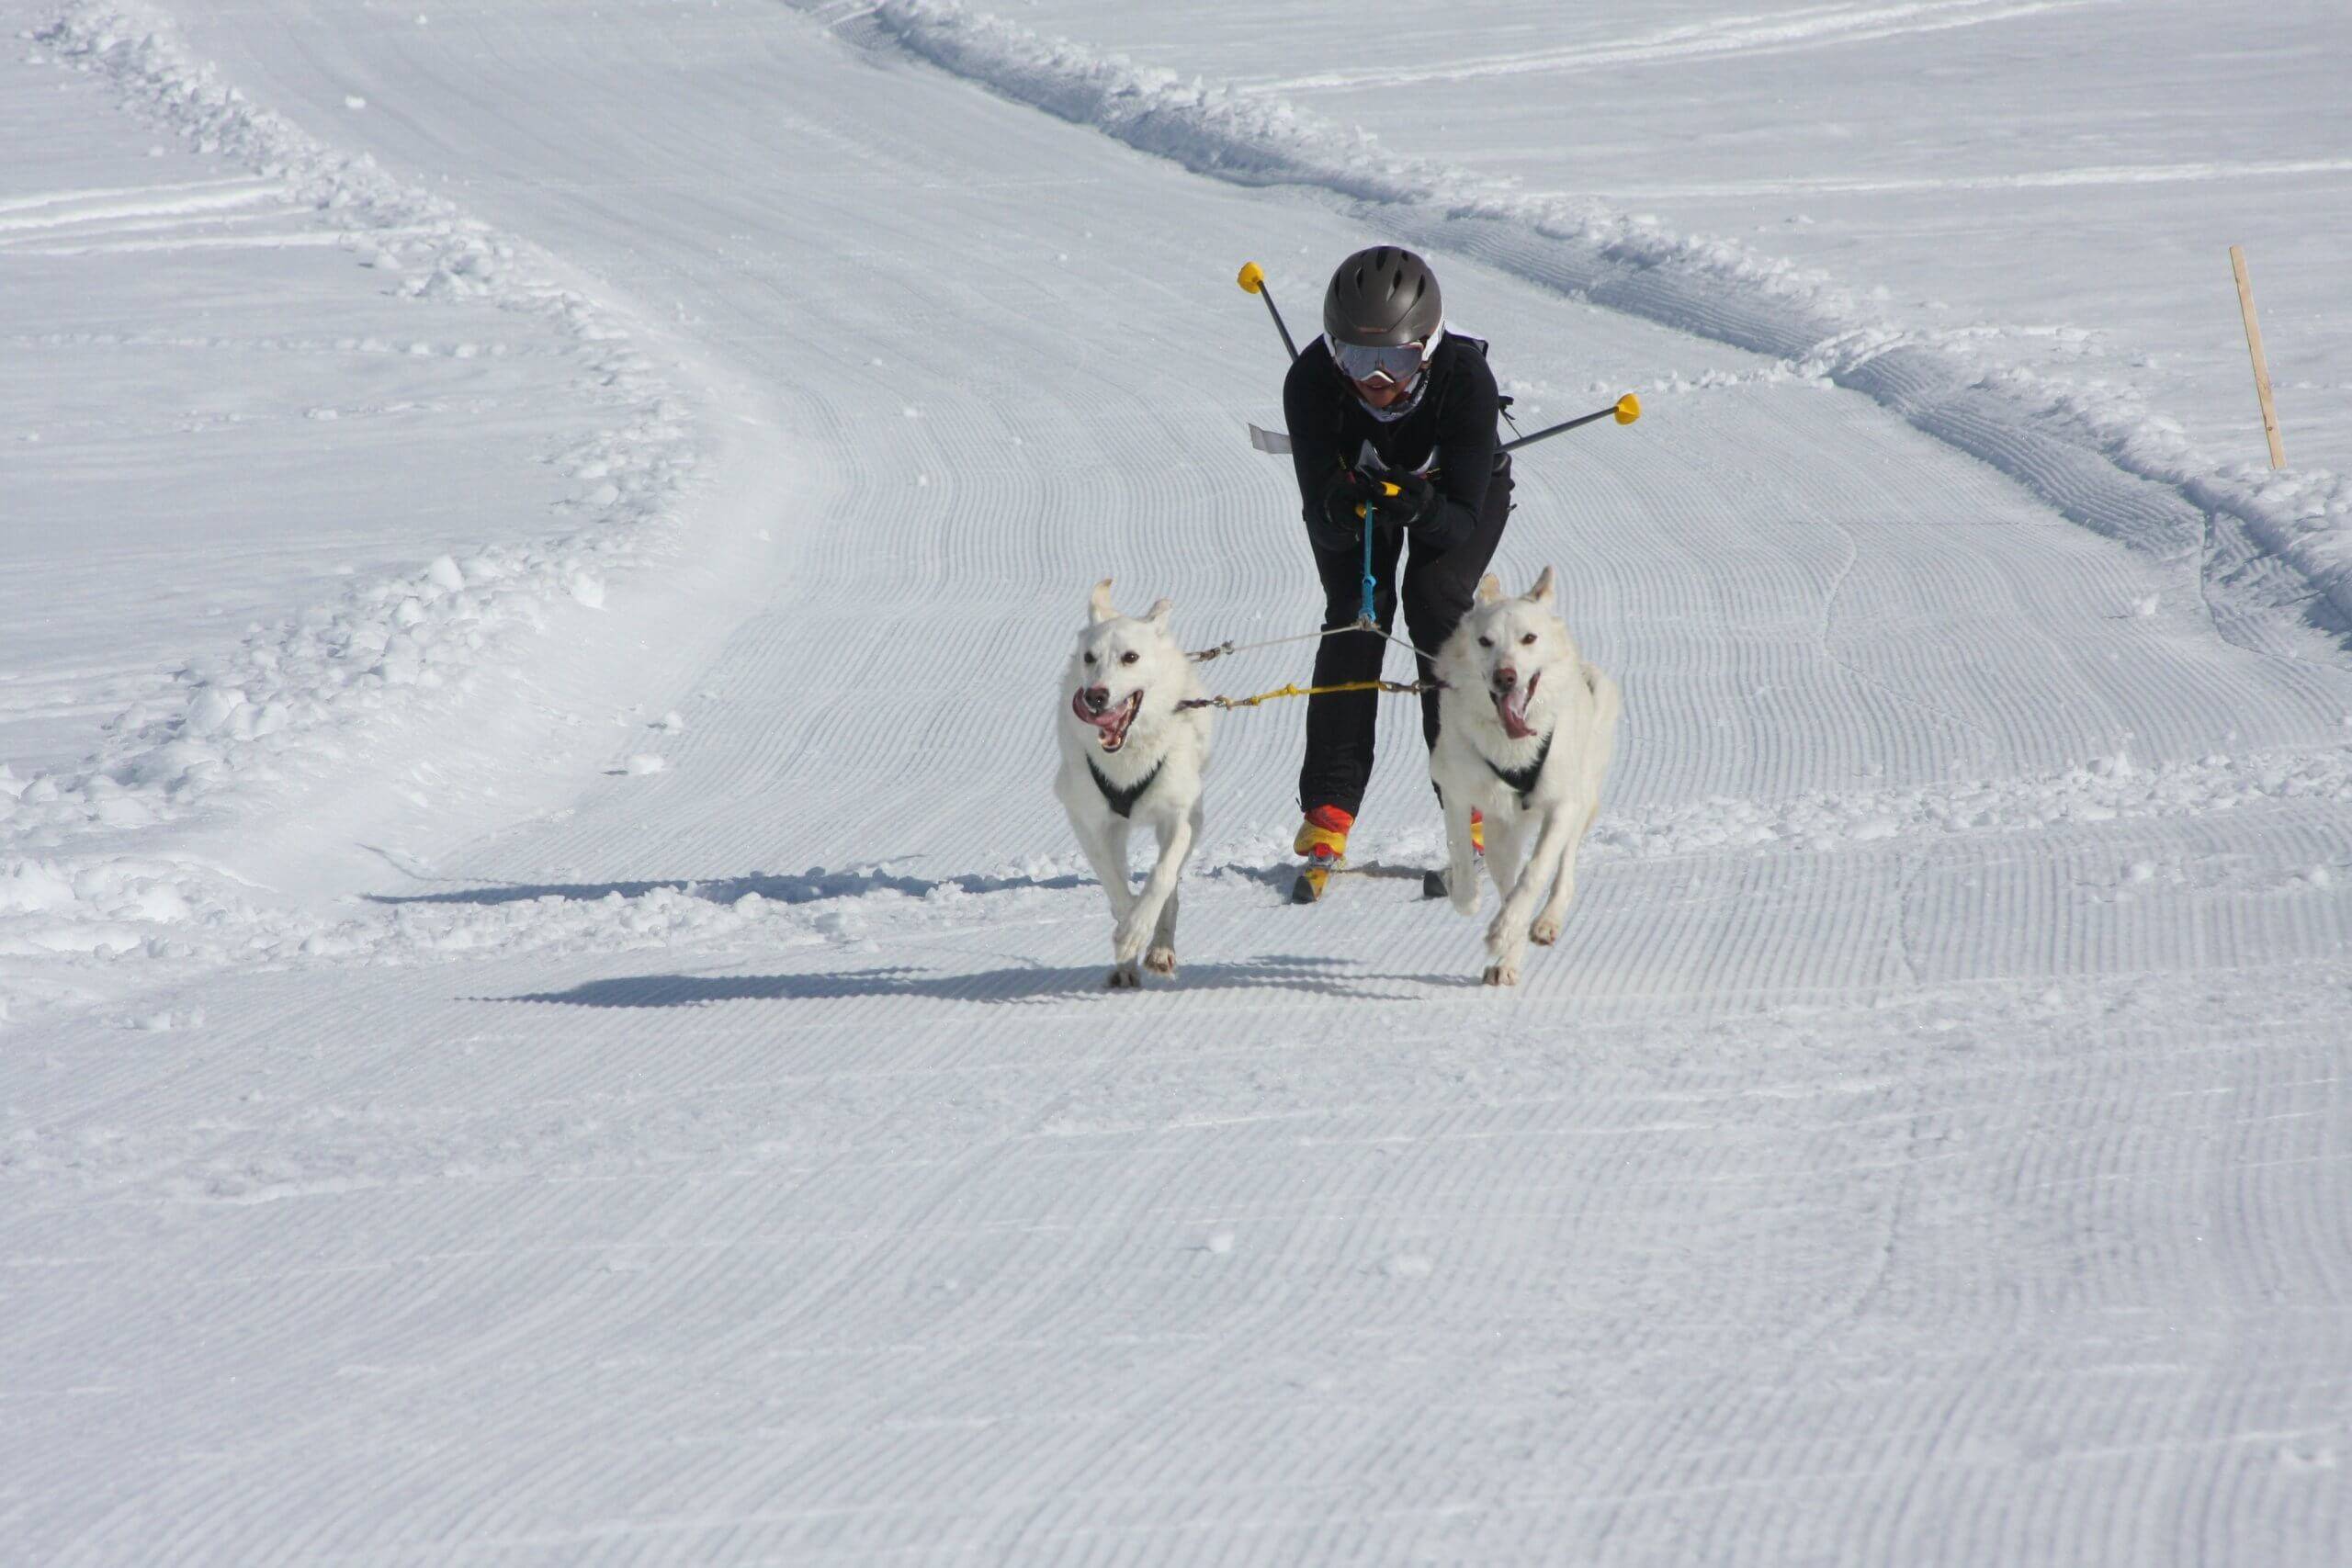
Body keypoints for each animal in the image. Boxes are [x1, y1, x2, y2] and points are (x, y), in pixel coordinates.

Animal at [1063, 576, 1223, 991]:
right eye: (1090, 657)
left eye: (1130, 657)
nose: (1096, 696)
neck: (1129, 755)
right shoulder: (1090, 821)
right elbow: (1115, 885)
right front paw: (1127, 936)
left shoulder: (1181, 816)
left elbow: (1162, 877)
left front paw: (1140, 930)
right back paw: (1127, 963)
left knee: (1170, 886)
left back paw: (1160, 949)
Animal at [1420, 570, 1627, 987]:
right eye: (1485, 641)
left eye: (1529, 638)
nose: (1505, 676)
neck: (1513, 748)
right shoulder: (1454, 789)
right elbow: (1461, 852)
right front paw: (1468, 898)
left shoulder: (1562, 805)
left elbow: (1536, 872)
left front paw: (1505, 929)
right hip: (1502, 835)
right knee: (1507, 879)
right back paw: (1507, 959)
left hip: (1580, 803)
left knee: (1562, 872)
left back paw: (1543, 923)